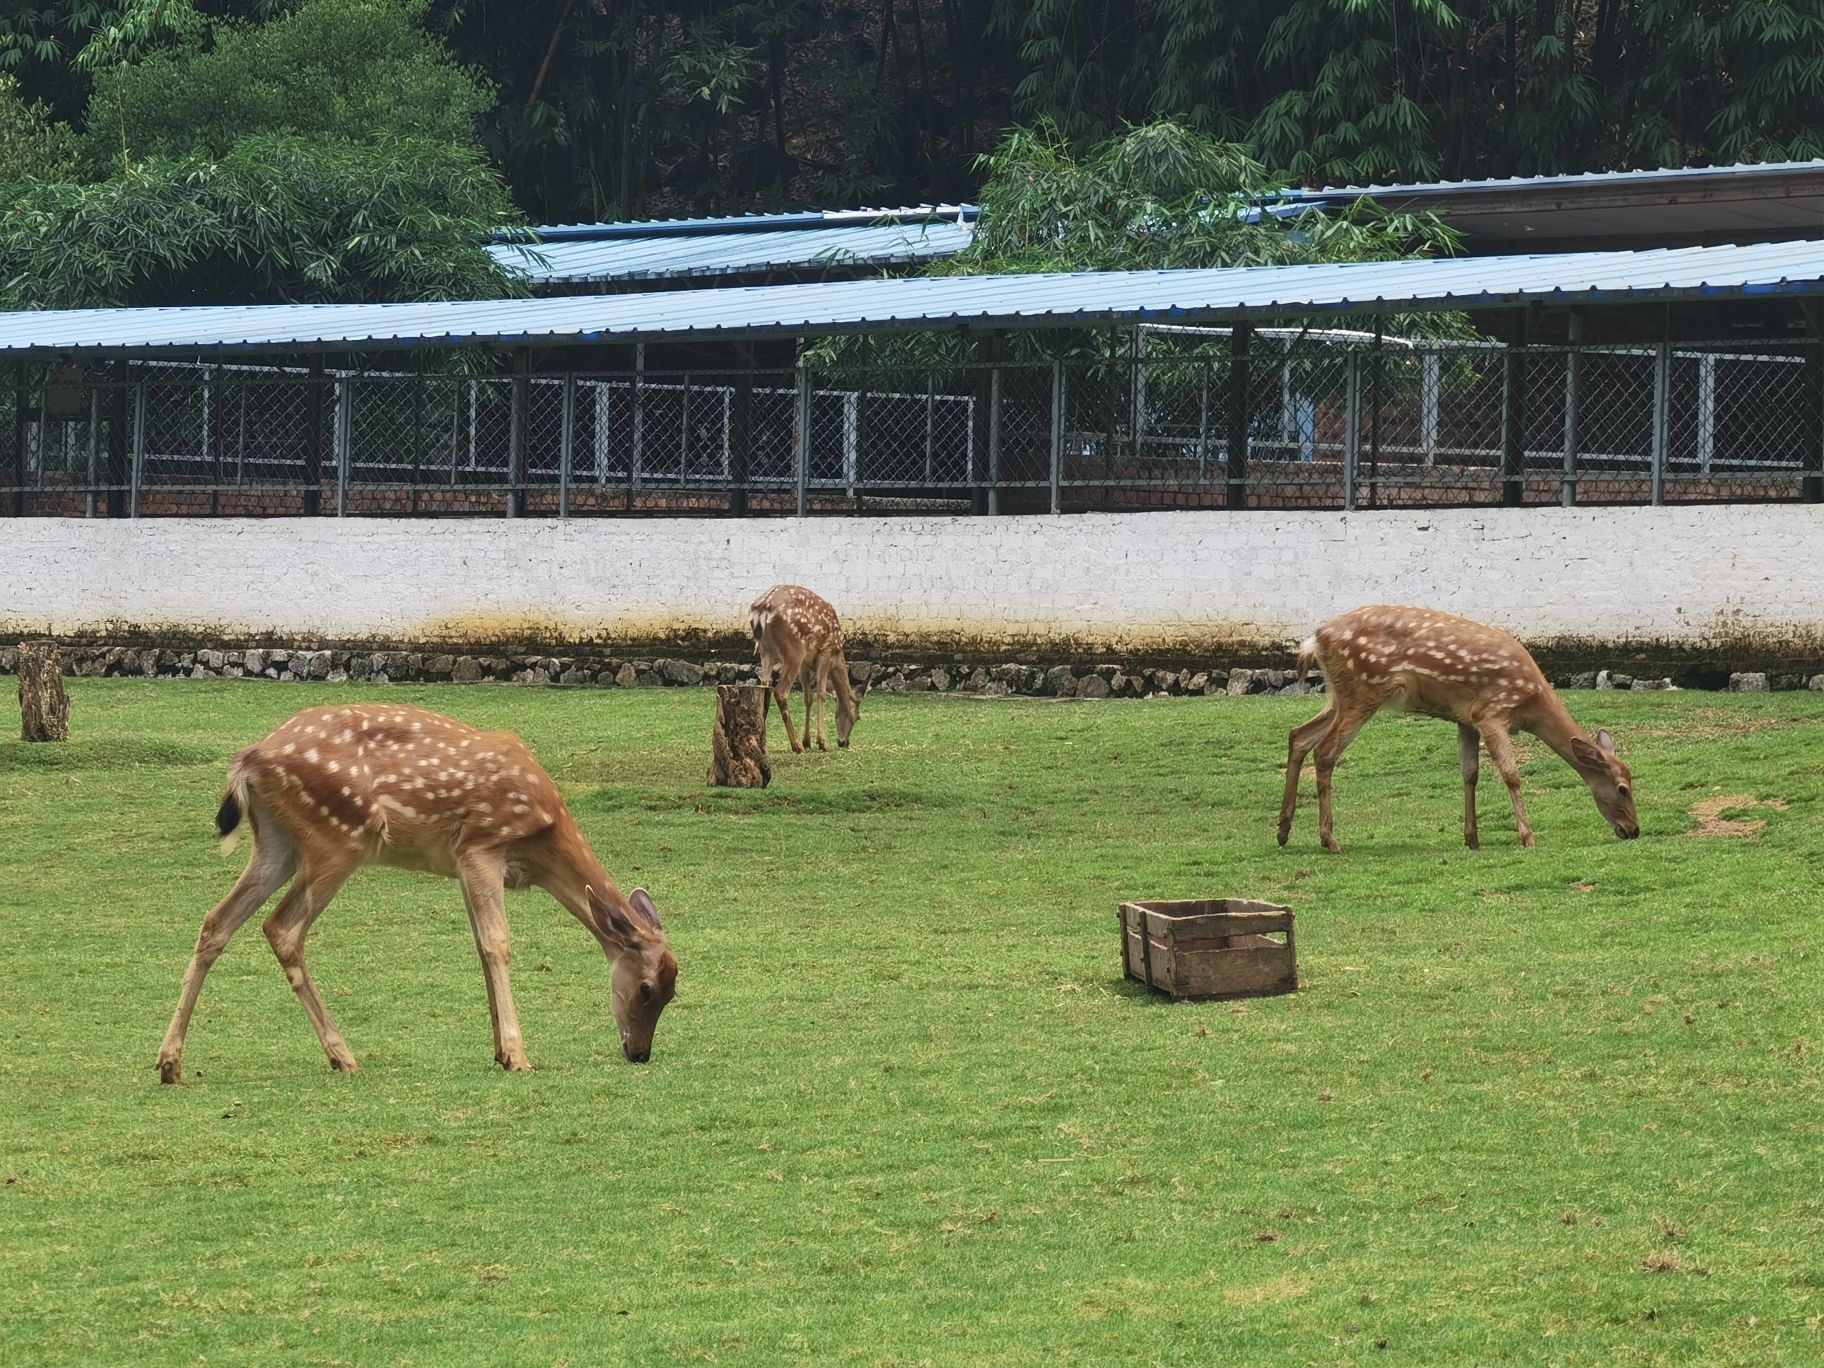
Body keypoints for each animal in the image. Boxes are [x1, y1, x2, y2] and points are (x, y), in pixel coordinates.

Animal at [156, 704, 677, 1083]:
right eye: (647, 989)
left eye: (674, 991)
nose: (639, 1053)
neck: (543, 839)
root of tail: (249, 760)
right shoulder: (482, 845)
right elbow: (499, 944)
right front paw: (518, 1056)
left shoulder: (462, 865)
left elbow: (479, 946)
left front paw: (498, 1051)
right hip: (338, 837)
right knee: (281, 927)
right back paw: (343, 1056)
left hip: (276, 842)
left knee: (216, 921)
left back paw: (169, 1063)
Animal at [749, 584, 865, 753]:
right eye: (857, 717)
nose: (844, 742)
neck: (837, 656)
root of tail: (762, 609)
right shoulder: (826, 651)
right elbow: (821, 694)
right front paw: (822, 742)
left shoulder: (805, 663)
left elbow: (808, 698)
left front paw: (808, 741)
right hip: (794, 650)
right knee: (780, 691)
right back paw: (796, 745)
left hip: (765, 653)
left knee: (764, 688)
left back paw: (761, 742)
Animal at [1277, 605, 1640, 853]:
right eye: (1623, 788)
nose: (1634, 830)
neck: (1530, 703)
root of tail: (1315, 640)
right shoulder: (1492, 712)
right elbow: (1511, 774)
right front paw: (1528, 836)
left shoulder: (1467, 719)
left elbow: (1469, 773)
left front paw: (1472, 838)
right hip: (1363, 691)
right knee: (1325, 751)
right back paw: (1330, 840)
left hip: (1338, 695)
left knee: (1298, 735)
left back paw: (1283, 830)